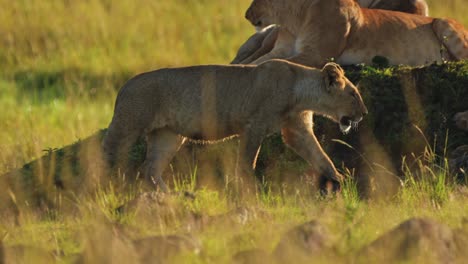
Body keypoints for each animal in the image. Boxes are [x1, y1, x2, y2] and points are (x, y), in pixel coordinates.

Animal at [103, 60, 370, 193]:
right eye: (353, 94)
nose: (364, 114)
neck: (300, 92)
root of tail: (122, 88)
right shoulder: (255, 125)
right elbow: (247, 162)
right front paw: (250, 189)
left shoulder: (297, 129)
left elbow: (320, 156)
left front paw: (339, 180)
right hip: (128, 126)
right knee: (106, 153)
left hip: (167, 136)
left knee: (150, 169)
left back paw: (168, 197)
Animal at [232, 0, 466, 66]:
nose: (245, 14)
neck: (295, 19)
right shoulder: (280, 49)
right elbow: (256, 61)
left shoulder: (317, 56)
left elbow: (270, 63)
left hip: (442, 22)